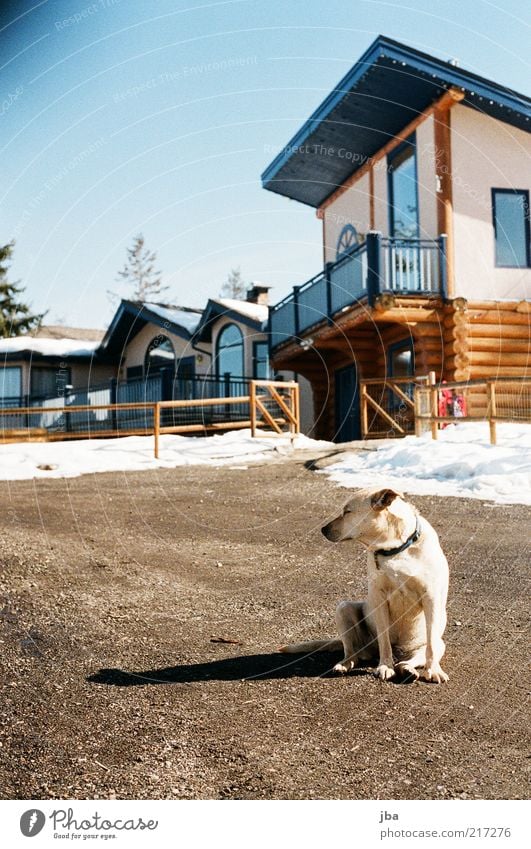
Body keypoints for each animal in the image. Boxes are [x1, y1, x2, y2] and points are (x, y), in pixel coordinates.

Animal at [280, 484, 450, 684]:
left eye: (347, 511)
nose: (323, 529)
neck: (395, 549)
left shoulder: (430, 597)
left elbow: (430, 646)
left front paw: (433, 670)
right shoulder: (379, 598)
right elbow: (384, 640)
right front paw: (385, 666)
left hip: (436, 644)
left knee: (415, 656)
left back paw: (407, 669)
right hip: (343, 609)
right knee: (353, 653)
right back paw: (345, 664)